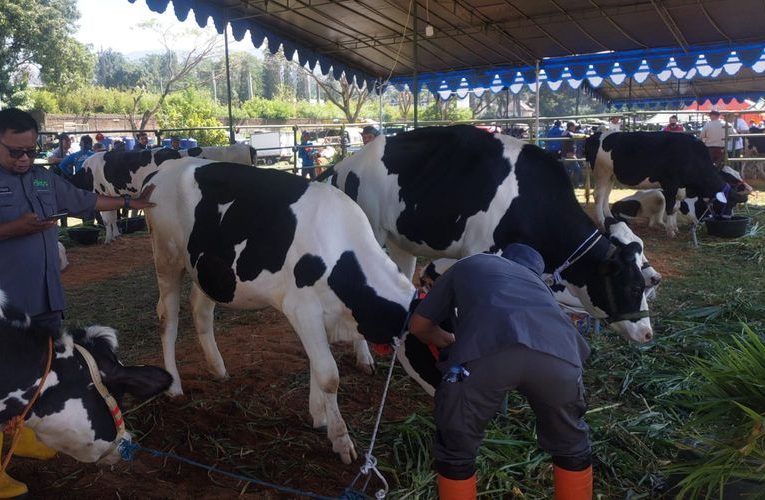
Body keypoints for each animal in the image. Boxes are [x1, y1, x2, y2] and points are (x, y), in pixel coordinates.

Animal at [143, 157, 426, 464]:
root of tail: (166, 166)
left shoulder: (322, 317)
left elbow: (317, 364)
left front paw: (319, 416)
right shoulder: (302, 310)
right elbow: (329, 375)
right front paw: (341, 440)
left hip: (209, 271)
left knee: (201, 308)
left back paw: (218, 368)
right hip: (167, 259)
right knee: (167, 319)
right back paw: (174, 387)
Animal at [332, 125, 652, 344]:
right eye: (634, 287)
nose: (648, 332)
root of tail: (347, 163)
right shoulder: (479, 250)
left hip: (400, 240)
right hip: (371, 230)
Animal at [584, 131, 748, 236]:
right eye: (728, 204)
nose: (728, 219)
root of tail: (597, 135)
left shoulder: (680, 188)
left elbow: (676, 206)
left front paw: (674, 228)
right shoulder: (670, 184)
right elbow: (670, 207)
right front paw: (670, 231)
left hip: (610, 177)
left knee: (605, 197)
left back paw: (609, 218)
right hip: (602, 173)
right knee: (598, 196)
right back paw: (601, 222)